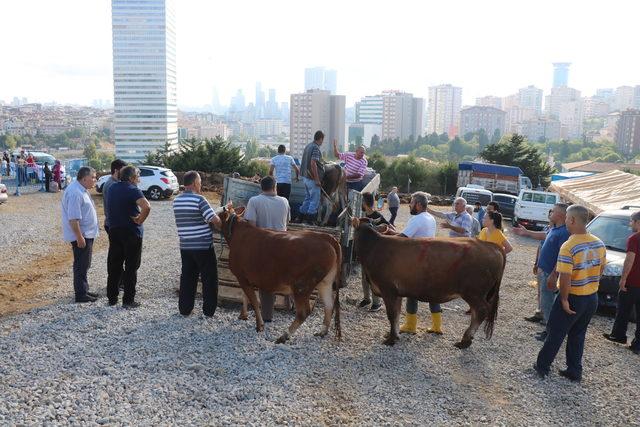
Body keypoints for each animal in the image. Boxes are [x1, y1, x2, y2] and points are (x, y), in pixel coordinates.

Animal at [219, 207, 342, 344]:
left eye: (217, 214)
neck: (237, 232)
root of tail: (324, 237)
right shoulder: (246, 278)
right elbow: (246, 296)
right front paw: (243, 315)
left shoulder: (241, 276)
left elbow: (254, 301)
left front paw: (259, 325)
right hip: (325, 282)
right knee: (329, 304)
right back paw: (322, 331)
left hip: (302, 286)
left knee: (303, 312)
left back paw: (284, 336)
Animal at [352, 219, 502, 350]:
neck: (374, 247)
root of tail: (491, 246)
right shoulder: (397, 293)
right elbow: (397, 314)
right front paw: (393, 334)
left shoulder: (388, 290)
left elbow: (392, 315)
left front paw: (391, 339)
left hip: (473, 293)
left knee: (481, 311)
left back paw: (465, 341)